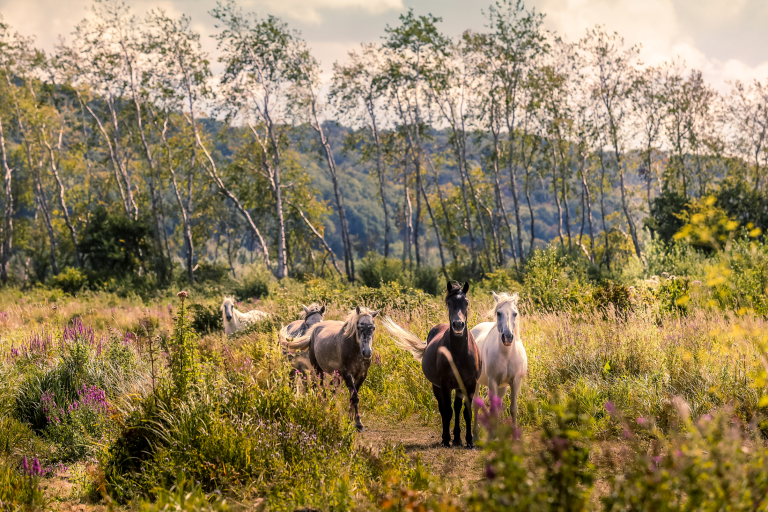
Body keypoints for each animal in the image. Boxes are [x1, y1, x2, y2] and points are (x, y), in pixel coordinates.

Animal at [382, 282, 484, 446]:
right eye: (449, 303)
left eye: (466, 302)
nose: (458, 325)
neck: (458, 353)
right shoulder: (445, 383)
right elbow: (447, 411)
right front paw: (447, 439)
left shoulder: (469, 383)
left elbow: (466, 411)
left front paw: (469, 441)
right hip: (436, 386)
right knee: (443, 408)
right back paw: (446, 438)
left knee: (456, 407)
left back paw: (457, 439)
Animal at [468, 290, 528, 438]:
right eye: (499, 313)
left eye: (515, 313)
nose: (507, 337)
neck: (506, 354)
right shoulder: (493, 381)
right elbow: (493, 410)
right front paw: (491, 436)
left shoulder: (516, 381)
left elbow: (513, 408)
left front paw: (514, 436)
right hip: (476, 382)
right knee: (475, 404)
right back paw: (475, 433)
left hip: (503, 387)